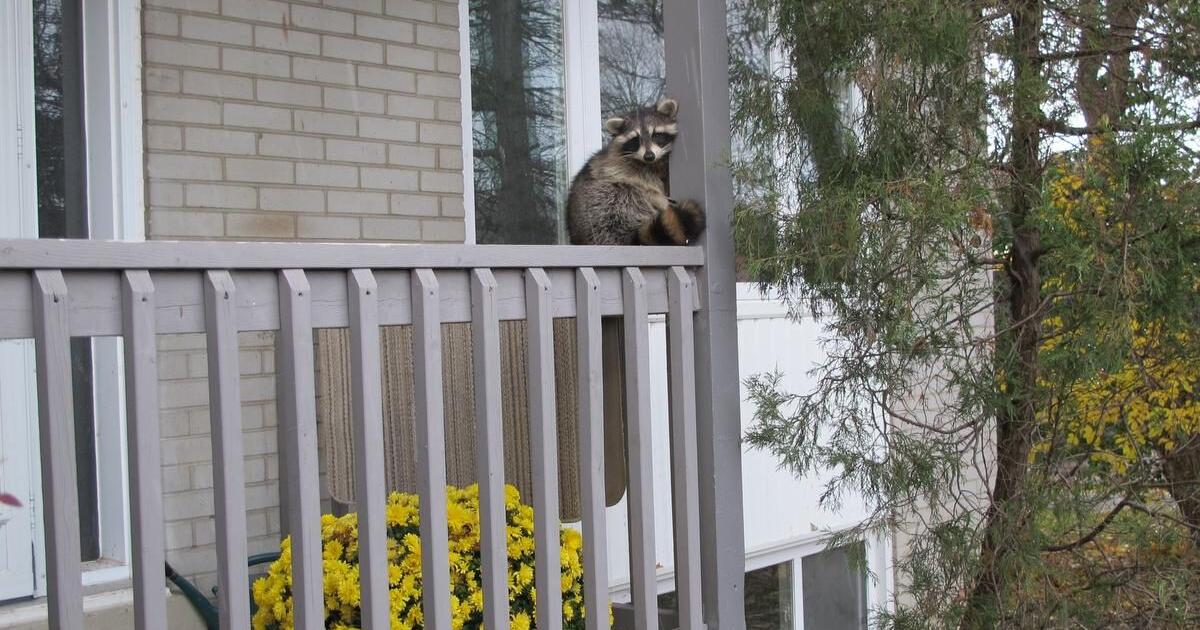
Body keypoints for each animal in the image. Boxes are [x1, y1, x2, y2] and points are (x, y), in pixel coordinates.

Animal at [566, 98, 706, 246]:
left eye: (656, 135)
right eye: (636, 139)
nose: (649, 156)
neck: (651, 163)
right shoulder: (613, 164)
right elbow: (634, 182)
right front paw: (658, 196)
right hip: (601, 213)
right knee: (622, 194)